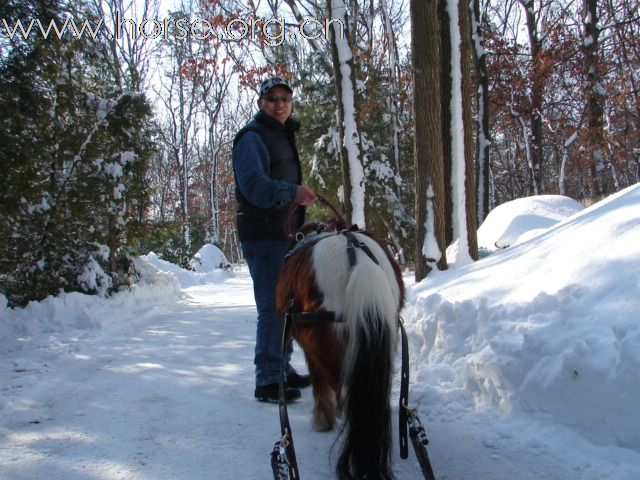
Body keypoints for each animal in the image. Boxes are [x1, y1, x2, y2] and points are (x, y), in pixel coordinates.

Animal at [276, 224, 404, 480]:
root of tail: (359, 261)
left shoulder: (310, 348)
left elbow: (319, 381)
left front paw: (323, 418)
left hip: (322, 342)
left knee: (340, 384)